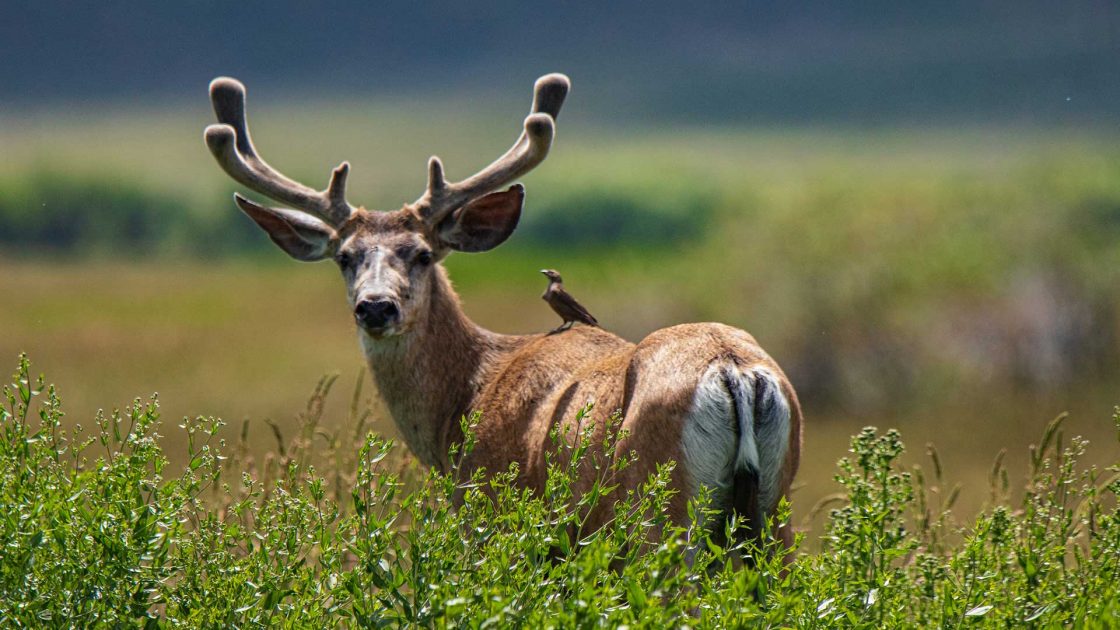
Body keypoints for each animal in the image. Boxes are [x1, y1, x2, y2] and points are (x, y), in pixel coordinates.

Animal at [206, 74, 801, 549]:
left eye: (422, 254)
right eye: (345, 257)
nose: (376, 308)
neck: (466, 396)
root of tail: (734, 371)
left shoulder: (491, 508)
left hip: (661, 514)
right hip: (774, 513)